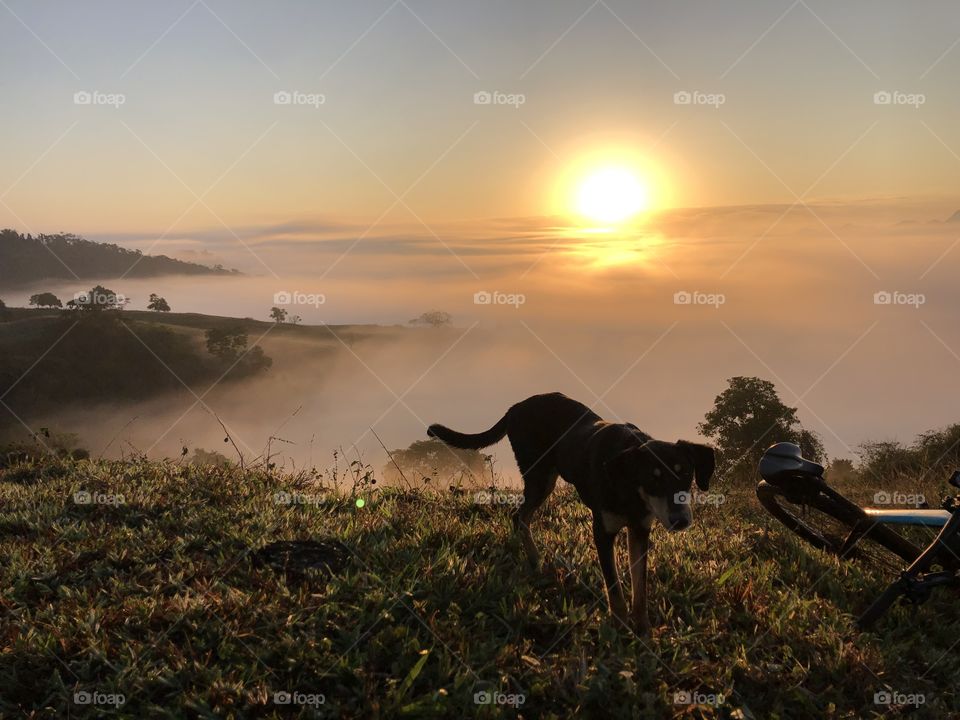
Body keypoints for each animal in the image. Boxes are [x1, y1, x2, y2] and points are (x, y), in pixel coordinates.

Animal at [428, 390, 712, 632]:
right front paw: (620, 628)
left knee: (520, 517)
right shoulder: (602, 531)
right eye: (652, 480)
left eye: (685, 474)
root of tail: (515, 408)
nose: (680, 521)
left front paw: (642, 630)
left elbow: (639, 586)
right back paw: (534, 559)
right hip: (540, 477)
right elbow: (614, 586)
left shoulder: (640, 530)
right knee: (519, 516)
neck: (628, 488)